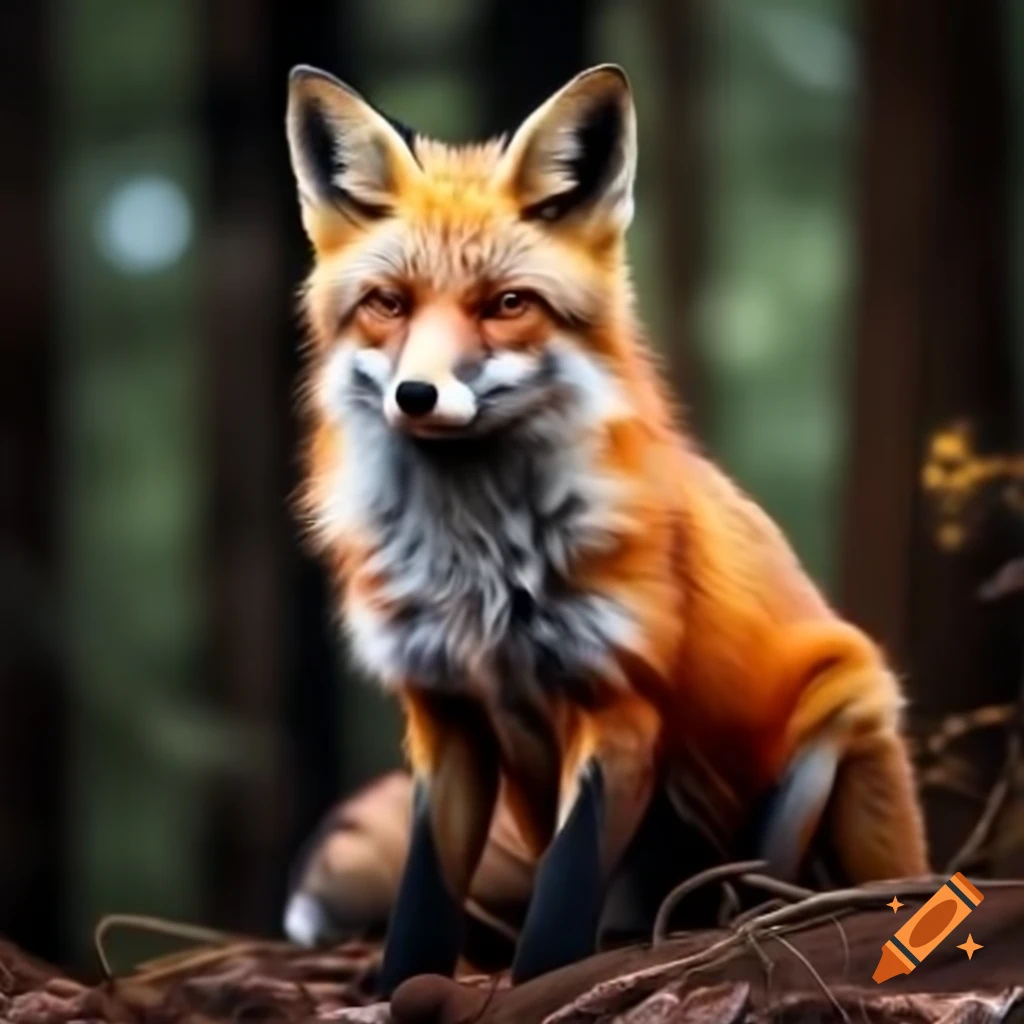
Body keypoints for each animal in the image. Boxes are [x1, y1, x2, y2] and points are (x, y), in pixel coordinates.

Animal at [282, 62, 930, 995]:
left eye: (507, 305)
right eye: (388, 304)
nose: (417, 395)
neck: (474, 563)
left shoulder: (618, 705)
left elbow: (561, 893)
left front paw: (545, 984)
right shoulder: (445, 718)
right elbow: (423, 899)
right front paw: (404, 987)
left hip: (833, 720)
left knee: (760, 886)